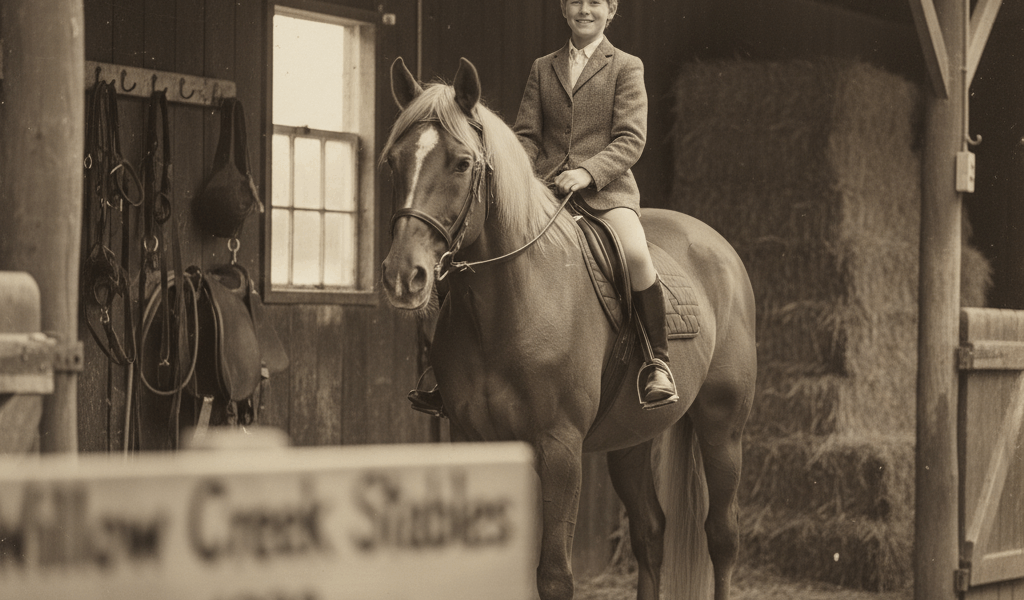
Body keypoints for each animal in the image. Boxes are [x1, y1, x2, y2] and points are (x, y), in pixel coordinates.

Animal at [380, 56, 757, 600]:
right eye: (394, 162)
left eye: (462, 163)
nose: (402, 276)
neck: (511, 304)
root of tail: (716, 244)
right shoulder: (474, 437)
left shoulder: (559, 448)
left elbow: (554, 576)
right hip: (630, 439)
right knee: (650, 532)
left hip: (722, 425)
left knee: (722, 536)